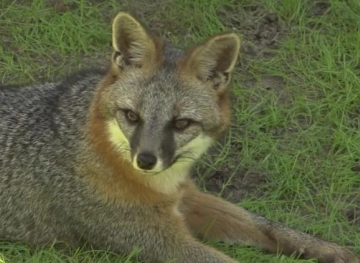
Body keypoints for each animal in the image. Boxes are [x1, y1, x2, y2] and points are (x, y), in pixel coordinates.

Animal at [0, 11, 358, 263]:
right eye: (132, 116)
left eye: (182, 123)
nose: (146, 161)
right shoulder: (158, 240)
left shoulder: (185, 197)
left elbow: (266, 225)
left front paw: (327, 249)